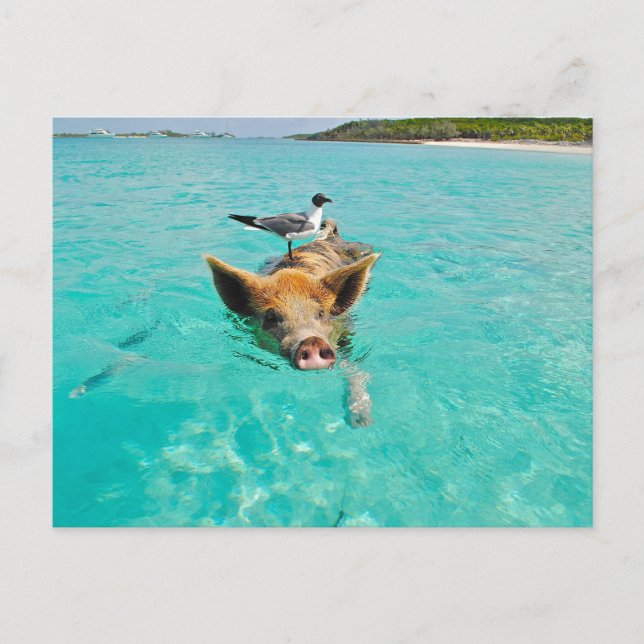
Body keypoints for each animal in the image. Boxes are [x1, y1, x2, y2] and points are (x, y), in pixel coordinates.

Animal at [204, 219, 380, 426]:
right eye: (270, 317)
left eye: (321, 313)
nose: (311, 341)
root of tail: (328, 236)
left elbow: (353, 369)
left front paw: (361, 422)